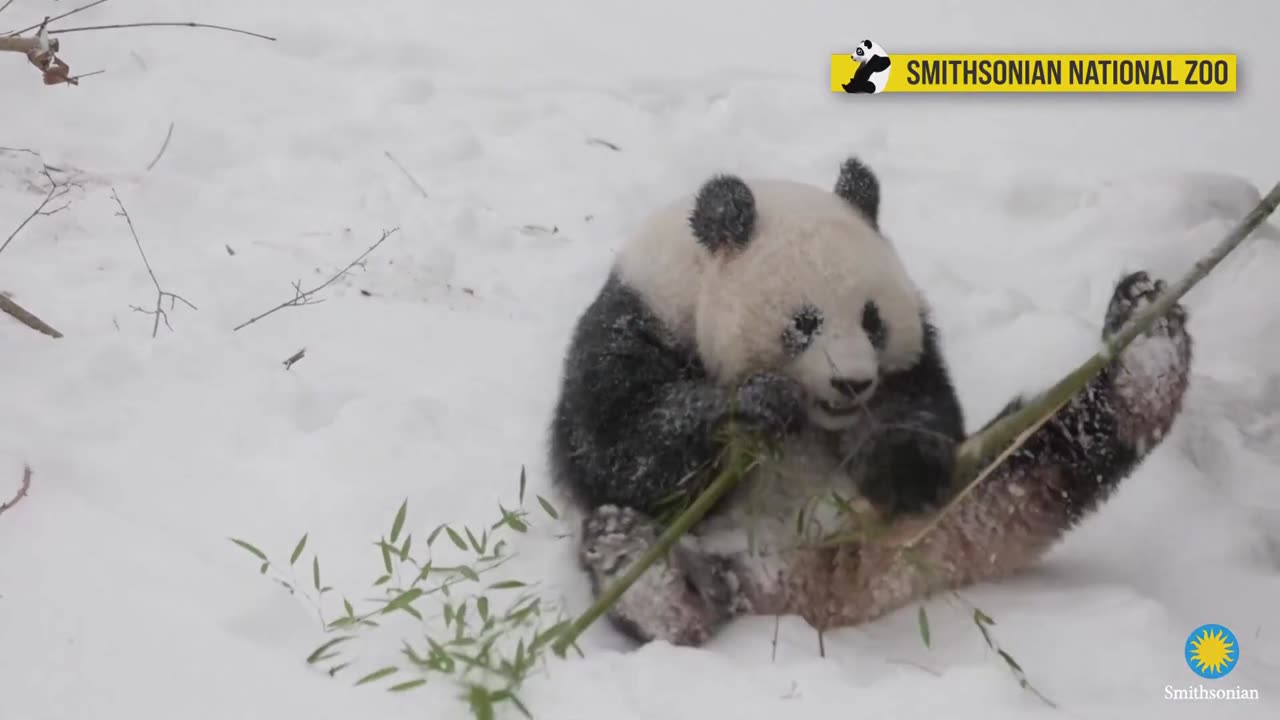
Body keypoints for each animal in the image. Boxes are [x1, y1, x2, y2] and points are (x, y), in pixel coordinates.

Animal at [545, 156, 1192, 645]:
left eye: (872, 320)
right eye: (804, 323)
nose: (852, 384)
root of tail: (830, 582)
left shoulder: (911, 360)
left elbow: (924, 412)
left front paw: (897, 464)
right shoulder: (634, 321)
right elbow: (621, 452)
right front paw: (755, 403)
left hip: (969, 495)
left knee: (1055, 444)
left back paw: (1145, 338)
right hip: (722, 556)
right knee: (669, 588)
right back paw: (638, 565)